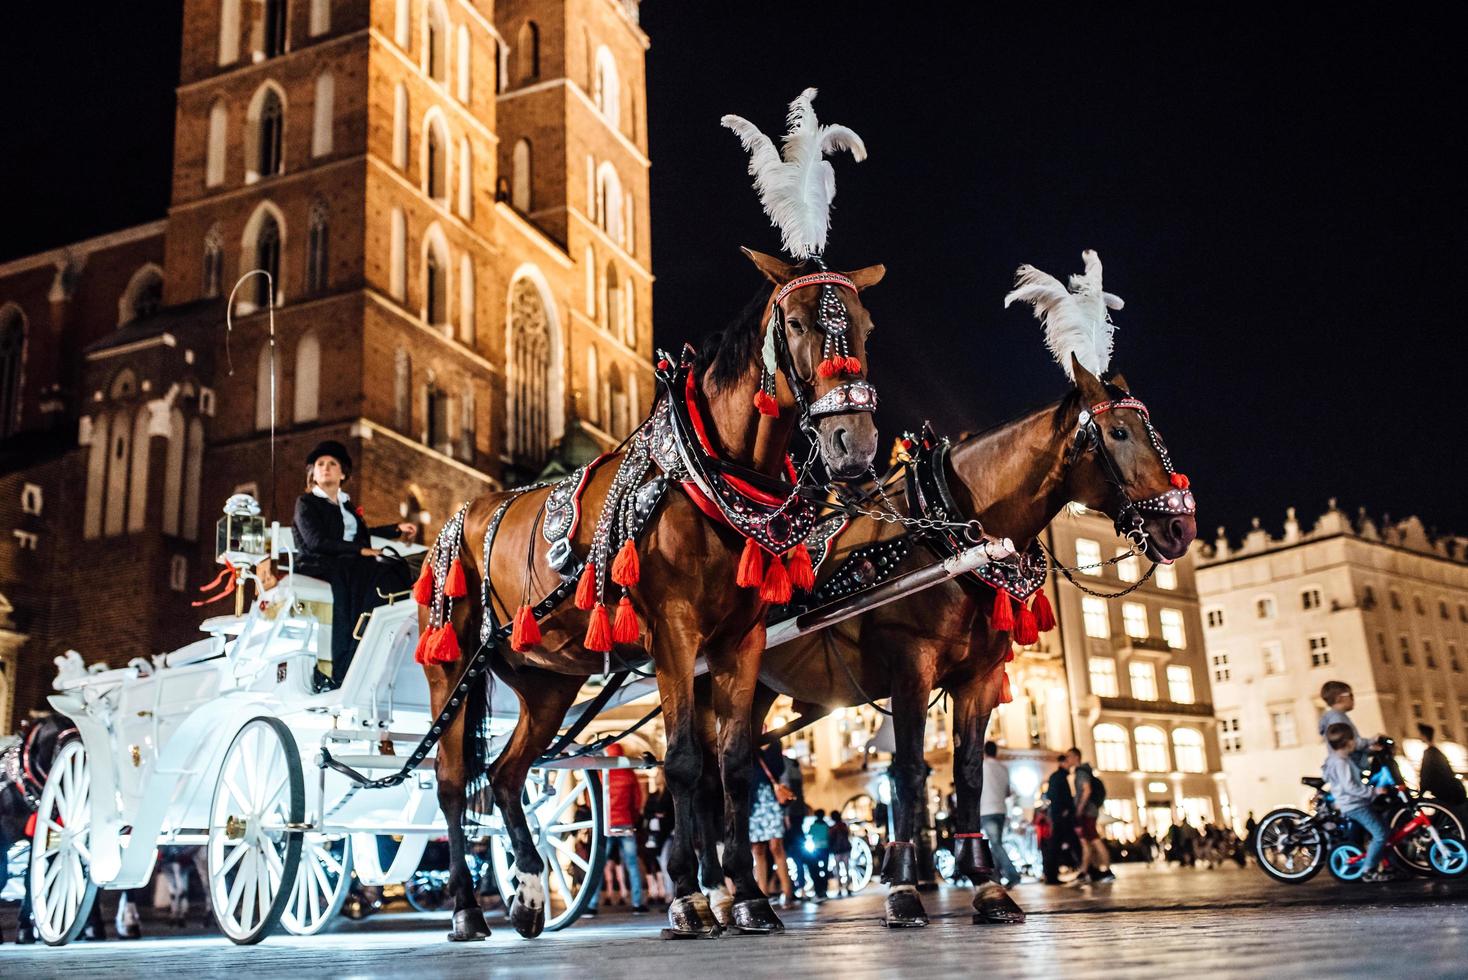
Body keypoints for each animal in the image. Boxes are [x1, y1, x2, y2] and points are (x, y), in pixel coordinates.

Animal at [425, 246, 880, 938]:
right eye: (798, 324)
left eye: (866, 326)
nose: (853, 444)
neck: (707, 473)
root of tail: (460, 517)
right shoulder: (673, 630)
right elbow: (685, 762)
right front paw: (690, 898)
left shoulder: (739, 641)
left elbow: (734, 768)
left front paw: (747, 896)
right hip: (449, 665)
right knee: (451, 783)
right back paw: (466, 910)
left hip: (547, 682)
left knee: (506, 775)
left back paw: (527, 894)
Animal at [713, 353, 1203, 927]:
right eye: (1119, 432)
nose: (1182, 528)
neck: (946, 535)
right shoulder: (911, 669)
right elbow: (908, 772)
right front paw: (903, 888)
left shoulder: (980, 679)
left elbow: (968, 773)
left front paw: (987, 886)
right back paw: (722, 895)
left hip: (759, 686)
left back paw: (727, 892)